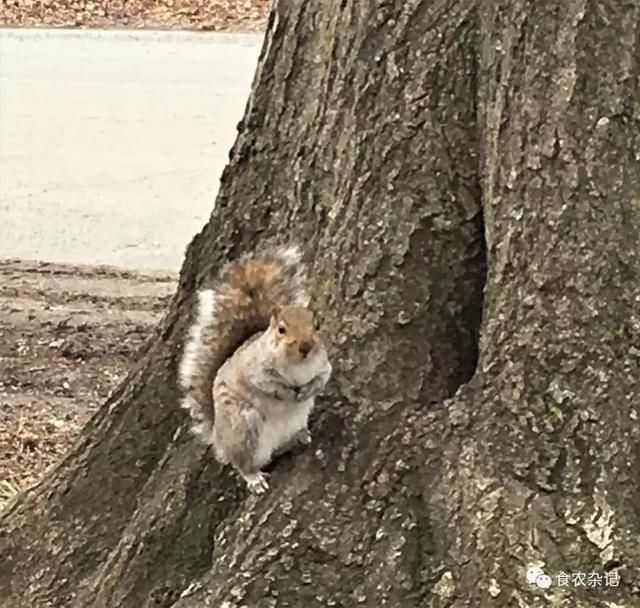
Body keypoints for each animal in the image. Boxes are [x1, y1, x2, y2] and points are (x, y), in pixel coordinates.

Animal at [178, 246, 332, 494]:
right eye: (281, 329)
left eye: (316, 326)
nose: (306, 347)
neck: (297, 365)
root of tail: (219, 438)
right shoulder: (254, 370)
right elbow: (268, 385)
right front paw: (287, 393)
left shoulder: (323, 364)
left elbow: (323, 378)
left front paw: (309, 390)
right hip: (244, 428)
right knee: (243, 463)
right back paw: (254, 478)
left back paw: (301, 437)